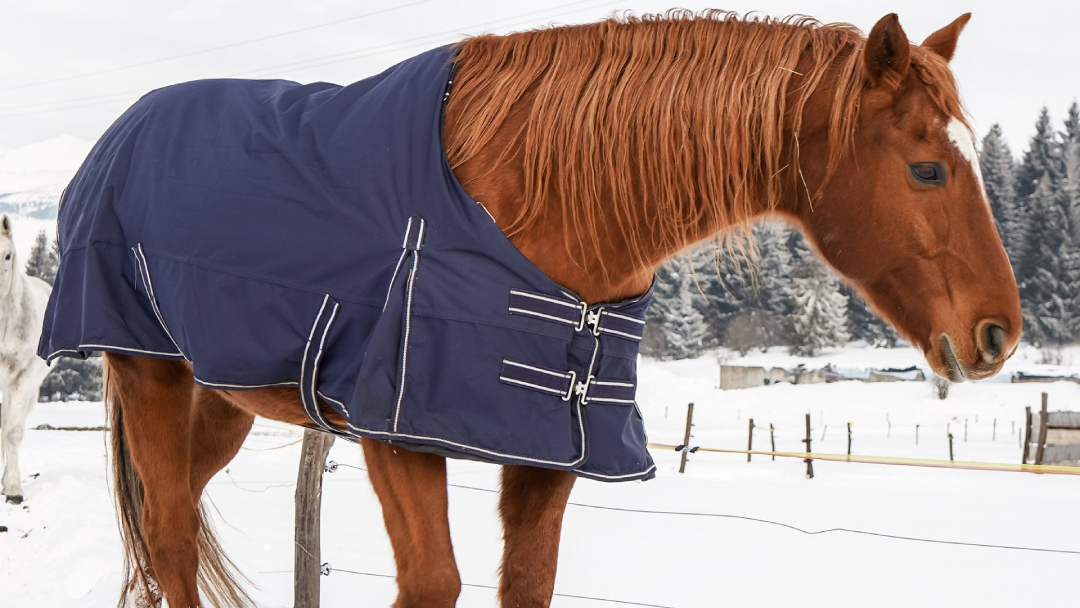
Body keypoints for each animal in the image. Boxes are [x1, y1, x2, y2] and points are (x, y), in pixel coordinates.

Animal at [46, 10, 1022, 608]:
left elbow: (525, 583)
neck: (536, 207)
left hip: (227, 399)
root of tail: (121, 135)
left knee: (177, 519)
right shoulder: (400, 433)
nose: (998, 333)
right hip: (148, 374)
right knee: (171, 534)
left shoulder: (551, 447)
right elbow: (433, 584)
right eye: (927, 169)